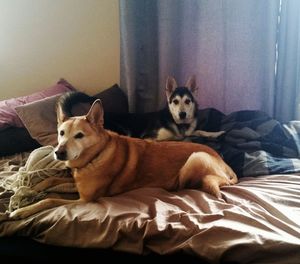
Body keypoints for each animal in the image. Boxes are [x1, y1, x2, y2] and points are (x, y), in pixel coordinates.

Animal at [10, 99, 238, 219]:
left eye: (79, 135)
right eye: (61, 133)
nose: (59, 153)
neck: (94, 157)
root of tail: (225, 164)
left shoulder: (84, 199)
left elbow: (50, 199)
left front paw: (23, 210)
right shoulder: (76, 183)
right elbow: (51, 180)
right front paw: (31, 189)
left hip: (194, 159)